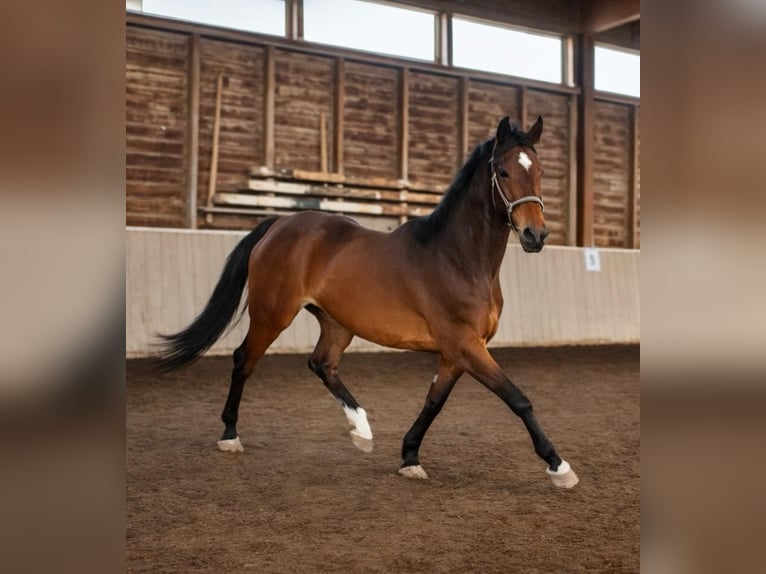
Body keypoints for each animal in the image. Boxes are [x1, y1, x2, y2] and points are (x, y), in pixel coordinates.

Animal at [157, 116, 579, 489]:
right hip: (273, 314)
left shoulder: (456, 352)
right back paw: (230, 434)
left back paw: (362, 431)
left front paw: (410, 457)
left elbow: (434, 402)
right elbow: (517, 399)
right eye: (504, 172)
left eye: (540, 171)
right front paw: (559, 467)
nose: (535, 235)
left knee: (322, 364)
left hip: (336, 323)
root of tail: (279, 224)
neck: (458, 257)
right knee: (244, 359)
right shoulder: (465, 345)